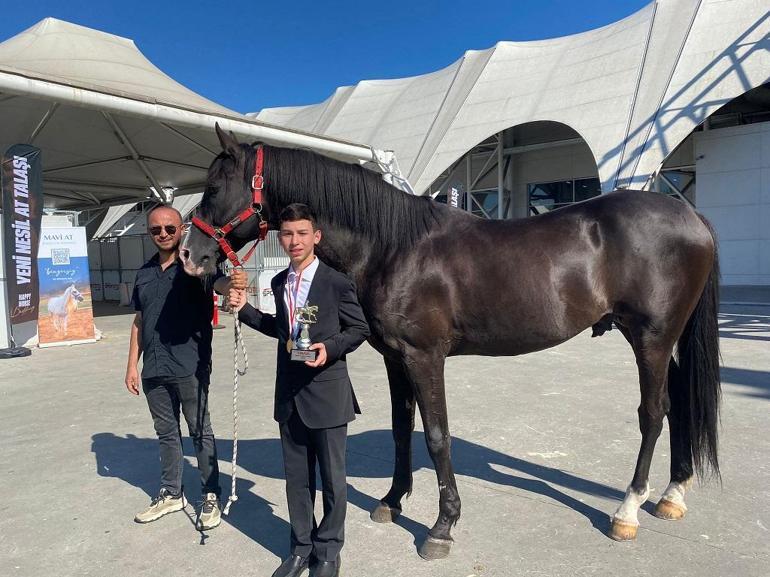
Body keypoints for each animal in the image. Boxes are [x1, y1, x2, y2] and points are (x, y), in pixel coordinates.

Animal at [180, 127, 720, 560]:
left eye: (214, 188)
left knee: (654, 412)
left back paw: (627, 510)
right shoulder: (395, 359)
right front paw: (392, 502)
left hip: (650, 338)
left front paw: (442, 527)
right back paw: (672, 494)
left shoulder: (425, 357)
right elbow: (403, 429)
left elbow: (437, 436)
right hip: (660, 340)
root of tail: (690, 215)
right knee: (679, 403)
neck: (393, 245)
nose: (189, 254)